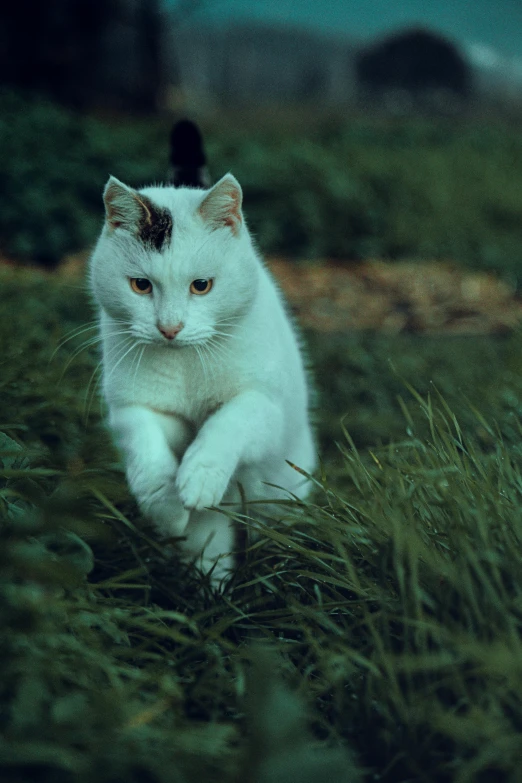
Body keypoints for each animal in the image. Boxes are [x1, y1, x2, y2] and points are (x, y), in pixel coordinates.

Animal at [88, 173, 312, 588]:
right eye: (141, 285)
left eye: (201, 285)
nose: (170, 328)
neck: (186, 361)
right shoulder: (130, 406)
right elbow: (145, 445)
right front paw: (166, 506)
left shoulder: (267, 407)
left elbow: (229, 419)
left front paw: (200, 475)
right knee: (209, 542)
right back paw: (209, 590)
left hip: (280, 493)